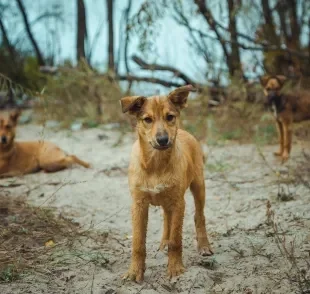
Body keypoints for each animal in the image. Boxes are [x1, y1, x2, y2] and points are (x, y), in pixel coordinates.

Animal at [120, 85, 212, 282]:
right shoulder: (138, 204)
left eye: (170, 117)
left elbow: (176, 239)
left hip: (198, 186)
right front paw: (134, 271)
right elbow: (138, 242)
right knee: (166, 219)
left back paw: (204, 246)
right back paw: (163, 242)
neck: (156, 164)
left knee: (199, 216)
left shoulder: (178, 202)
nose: (163, 140)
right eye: (147, 120)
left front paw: (175, 268)